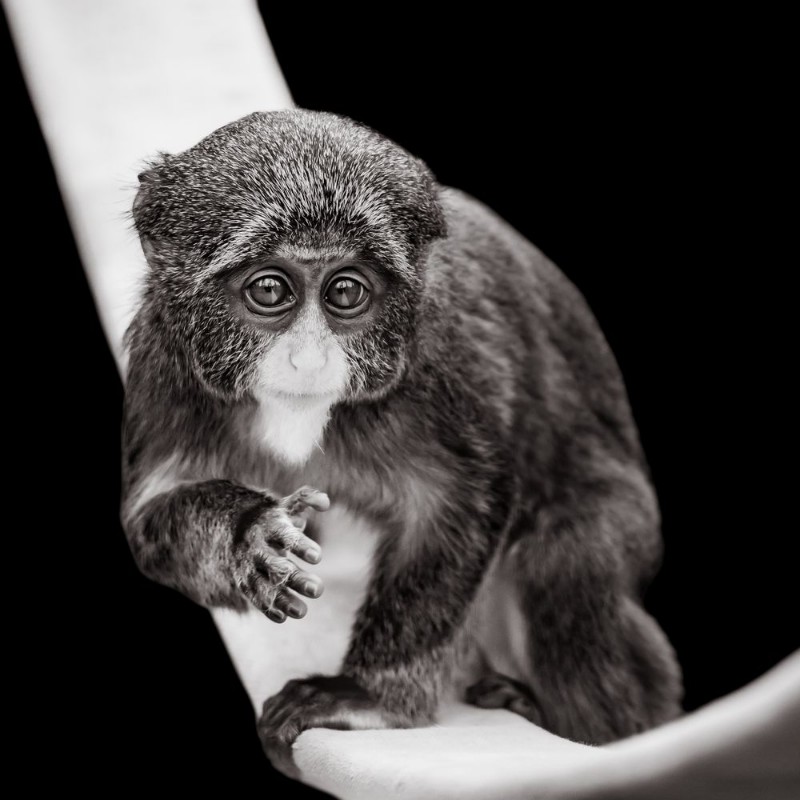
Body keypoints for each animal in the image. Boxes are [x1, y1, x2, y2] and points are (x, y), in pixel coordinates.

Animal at [122, 109, 682, 777]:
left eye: (345, 293)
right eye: (270, 290)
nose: (308, 360)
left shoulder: (437, 357)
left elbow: (460, 498)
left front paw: (369, 697)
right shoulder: (163, 359)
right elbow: (149, 517)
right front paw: (251, 535)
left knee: (566, 570)